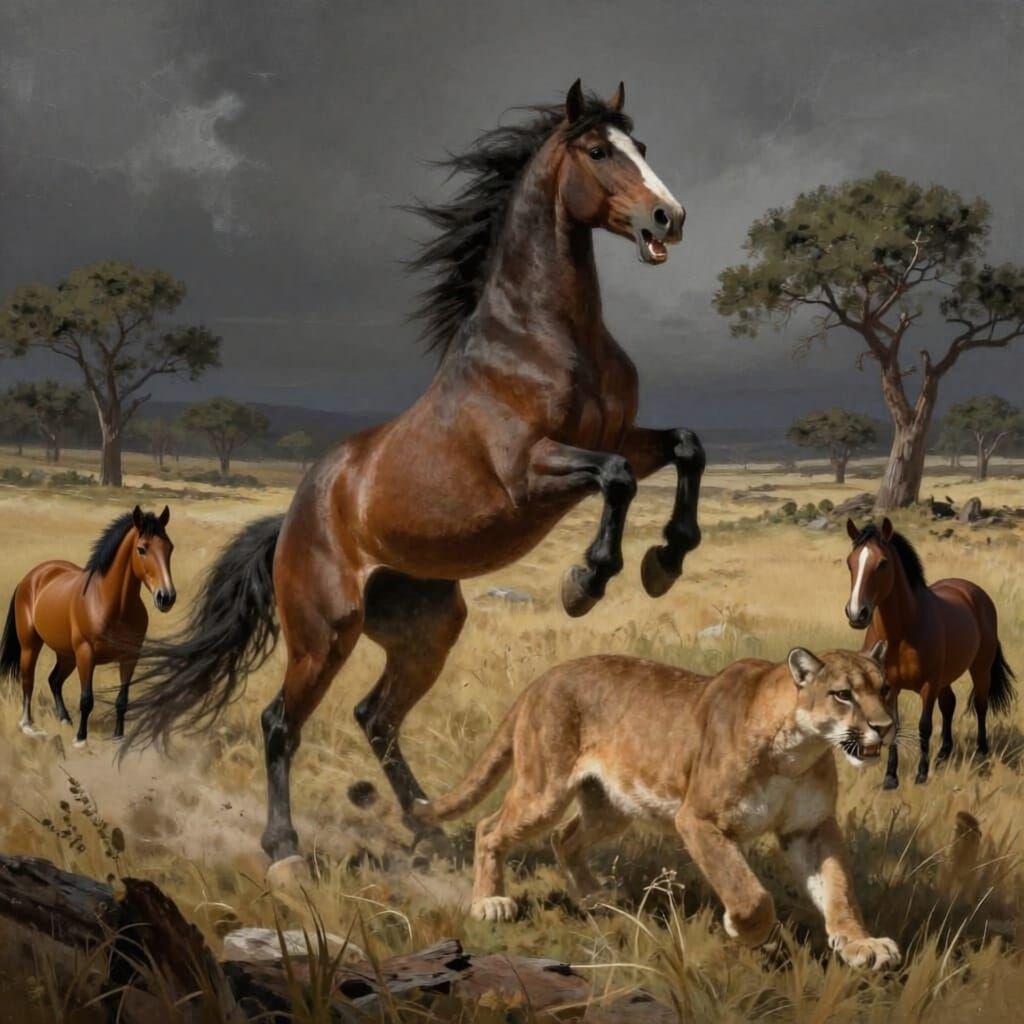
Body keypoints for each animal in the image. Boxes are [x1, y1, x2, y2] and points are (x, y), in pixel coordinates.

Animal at [0, 506, 176, 745]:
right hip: (31, 646)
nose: (166, 597)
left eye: (170, 547)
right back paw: (28, 725)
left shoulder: (130, 656)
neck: (109, 604)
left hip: (66, 655)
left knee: (54, 680)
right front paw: (81, 739)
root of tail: (32, 577)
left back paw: (65, 719)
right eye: (142, 549)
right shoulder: (86, 654)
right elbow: (87, 699)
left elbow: (122, 699)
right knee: (28, 681)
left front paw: (118, 736)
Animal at [122, 80, 706, 873]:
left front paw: (665, 560)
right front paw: (586, 581)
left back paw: (428, 827)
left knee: (375, 716)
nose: (668, 217)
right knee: (280, 721)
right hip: (323, 633)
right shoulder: (530, 471)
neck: (548, 335)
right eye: (596, 150)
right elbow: (616, 479)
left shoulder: (622, 438)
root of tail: (292, 520)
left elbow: (686, 447)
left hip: (427, 630)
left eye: (639, 147)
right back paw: (284, 848)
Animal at [843, 517, 1015, 788]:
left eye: (883, 563)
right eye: (850, 562)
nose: (856, 613)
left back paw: (981, 754)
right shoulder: (890, 686)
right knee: (949, 704)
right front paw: (890, 778)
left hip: (980, 668)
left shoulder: (929, 684)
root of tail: (973, 591)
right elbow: (892, 727)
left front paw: (922, 775)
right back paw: (944, 754)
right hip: (946, 678)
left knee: (980, 705)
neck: (901, 632)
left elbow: (924, 725)